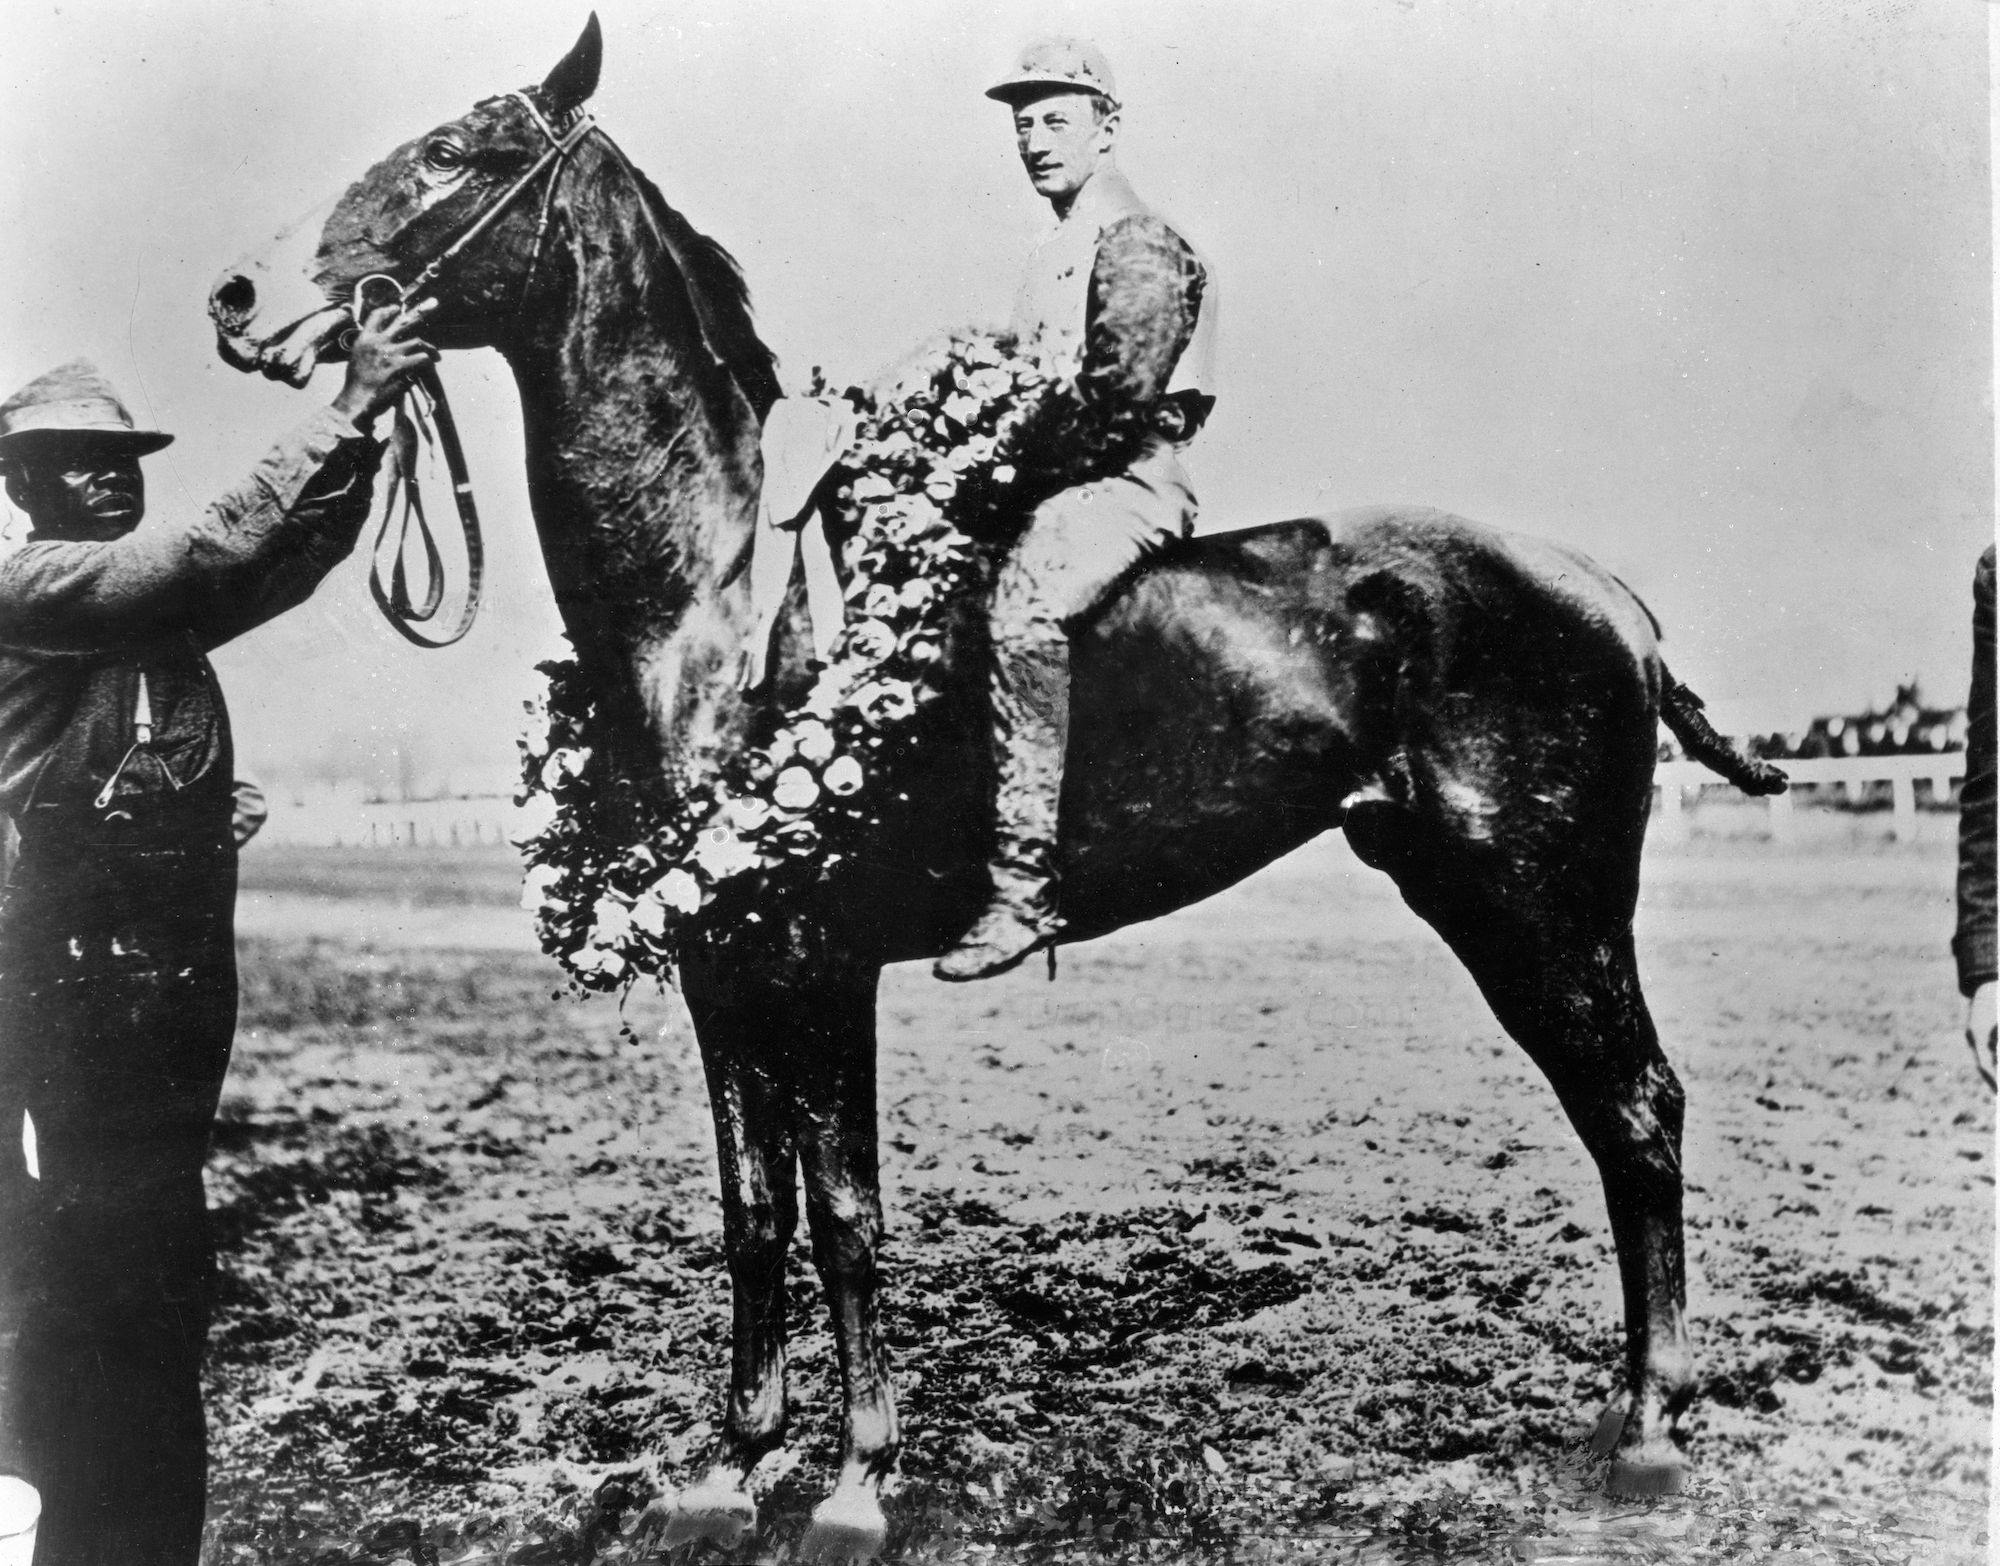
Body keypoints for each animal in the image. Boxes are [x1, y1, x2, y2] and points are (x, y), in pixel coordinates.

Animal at [215, 18, 1784, 1560]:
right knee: (1622, 1114)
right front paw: (728, 1470)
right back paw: (1627, 1415)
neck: (722, 591)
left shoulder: (818, 965)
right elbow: (752, 1215)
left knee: (1636, 1110)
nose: (238, 296)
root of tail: (1603, 593)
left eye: (453, 151)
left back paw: (1648, 1433)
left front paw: (856, 1486)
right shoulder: (722, 966)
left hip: (1538, 908)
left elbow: (845, 1216)